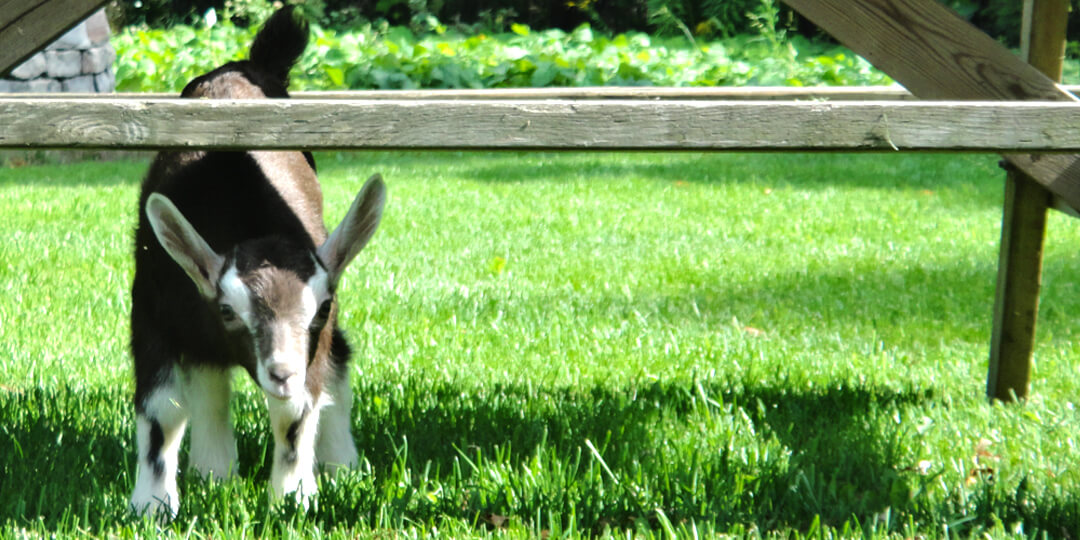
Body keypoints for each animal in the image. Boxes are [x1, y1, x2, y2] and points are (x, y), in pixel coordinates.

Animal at [128, 5, 386, 518]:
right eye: (228, 309)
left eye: (320, 308)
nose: (281, 372)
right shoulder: (149, 309)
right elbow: (164, 409)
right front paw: (152, 506)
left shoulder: (315, 339)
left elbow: (296, 411)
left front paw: (294, 497)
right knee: (208, 375)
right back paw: (214, 471)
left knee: (337, 359)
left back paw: (341, 465)